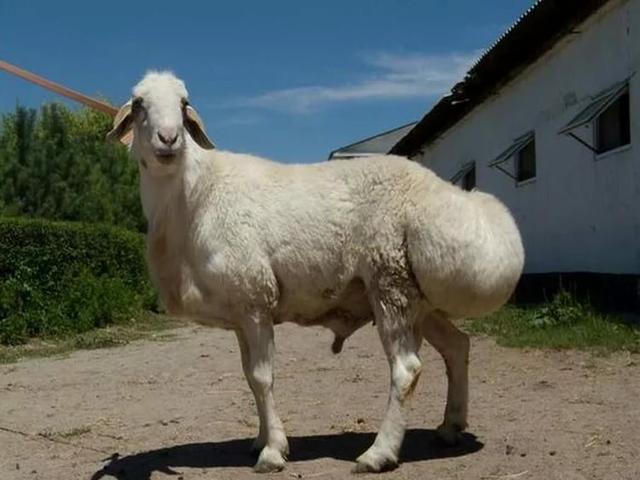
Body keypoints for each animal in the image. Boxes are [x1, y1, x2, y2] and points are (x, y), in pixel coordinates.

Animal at [107, 71, 524, 473]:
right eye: (140, 104)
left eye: (184, 103)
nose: (169, 139)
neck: (194, 196)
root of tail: (450, 196)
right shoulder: (240, 311)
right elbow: (249, 378)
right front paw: (261, 439)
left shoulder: (255, 299)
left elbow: (263, 377)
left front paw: (273, 452)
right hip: (415, 297)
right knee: (457, 346)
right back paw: (450, 427)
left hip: (390, 282)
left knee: (406, 370)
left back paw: (378, 454)